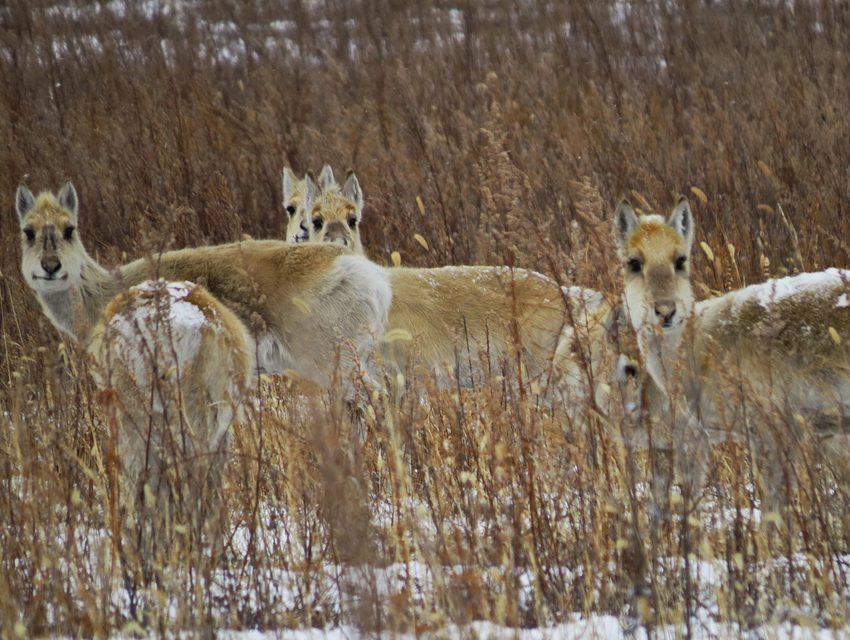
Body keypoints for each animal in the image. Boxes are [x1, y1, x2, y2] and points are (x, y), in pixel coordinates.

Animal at [15, 180, 390, 390]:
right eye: (27, 231)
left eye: (70, 229)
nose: (51, 267)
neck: (106, 290)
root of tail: (369, 273)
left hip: (331, 361)